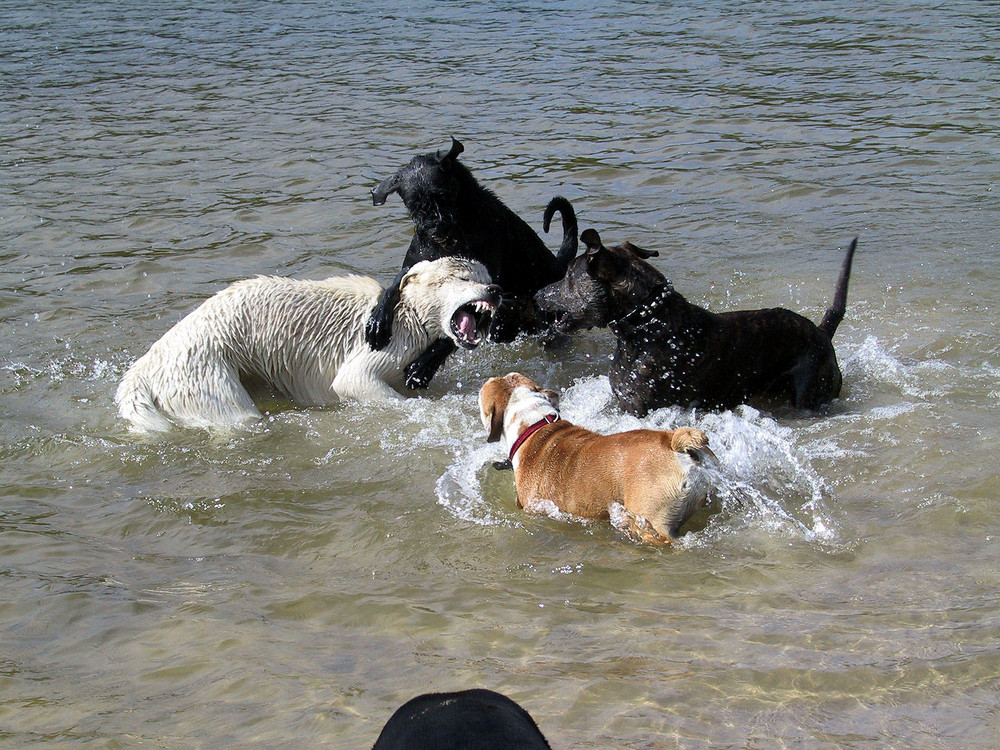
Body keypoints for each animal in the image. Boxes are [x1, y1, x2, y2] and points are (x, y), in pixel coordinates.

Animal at [115, 258, 500, 432]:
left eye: (488, 276)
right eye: (462, 276)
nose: (495, 291)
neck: (409, 312)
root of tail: (145, 365)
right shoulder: (385, 343)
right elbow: (354, 381)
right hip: (204, 370)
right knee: (235, 414)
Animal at [366, 138, 580, 390]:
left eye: (442, 195)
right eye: (414, 204)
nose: (436, 227)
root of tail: (558, 265)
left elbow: (452, 333)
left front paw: (424, 365)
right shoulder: (413, 267)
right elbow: (393, 287)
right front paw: (378, 320)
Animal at [536, 229, 856, 418]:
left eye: (569, 276)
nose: (538, 294)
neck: (647, 323)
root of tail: (822, 332)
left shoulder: (638, 409)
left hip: (810, 395)